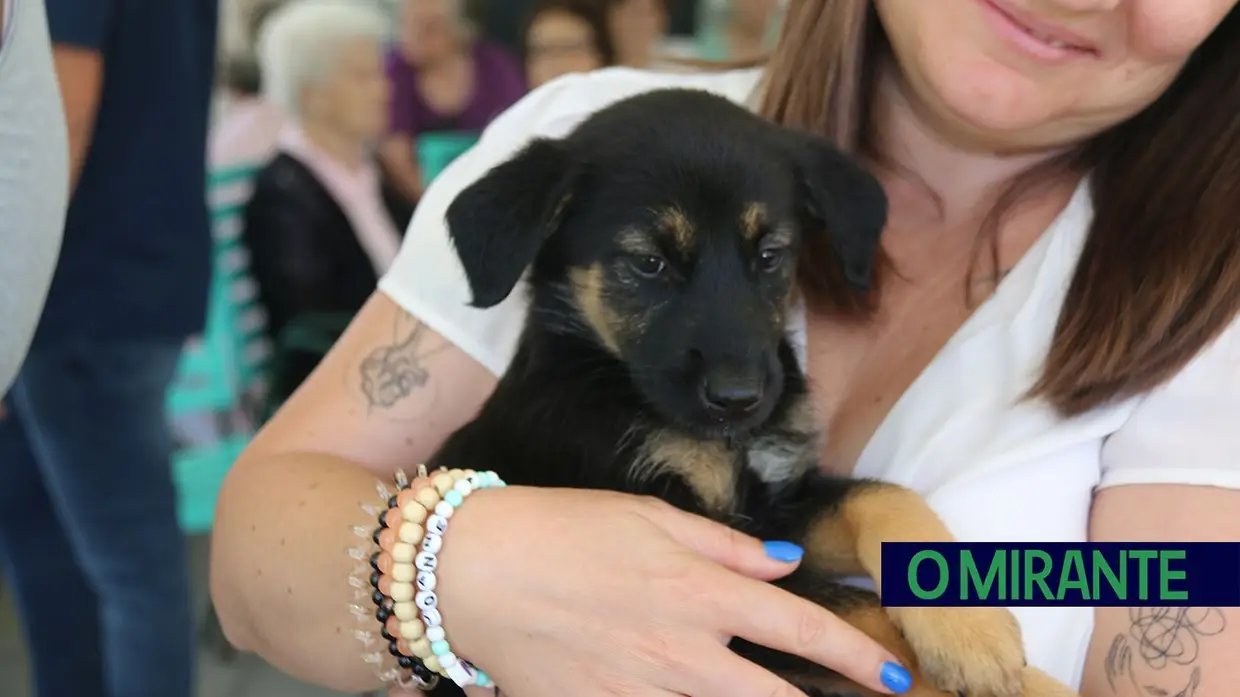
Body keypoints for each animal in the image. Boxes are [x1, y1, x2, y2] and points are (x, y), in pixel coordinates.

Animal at [426, 88, 1076, 694]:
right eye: (648, 263)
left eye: (770, 255)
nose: (740, 399)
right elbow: (860, 616)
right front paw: (1028, 681)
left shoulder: (775, 514)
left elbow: (882, 496)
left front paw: (970, 628)